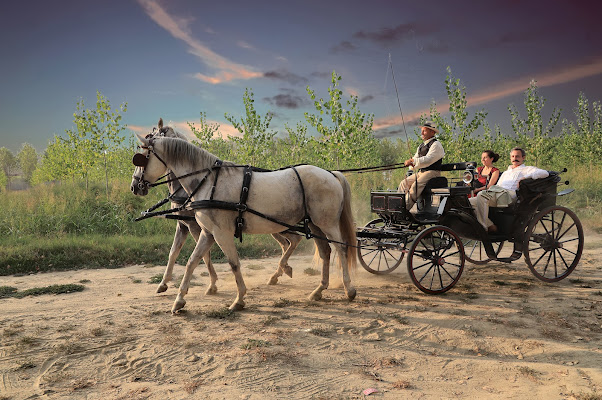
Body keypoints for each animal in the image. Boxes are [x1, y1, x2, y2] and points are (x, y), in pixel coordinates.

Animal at [131, 133, 354, 310]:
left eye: (140, 159)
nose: (135, 186)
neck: (208, 182)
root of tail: (330, 173)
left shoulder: (221, 233)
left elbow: (233, 263)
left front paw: (238, 299)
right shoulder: (208, 232)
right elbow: (192, 261)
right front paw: (179, 299)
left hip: (327, 224)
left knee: (341, 249)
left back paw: (349, 289)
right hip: (314, 225)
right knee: (325, 252)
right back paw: (318, 289)